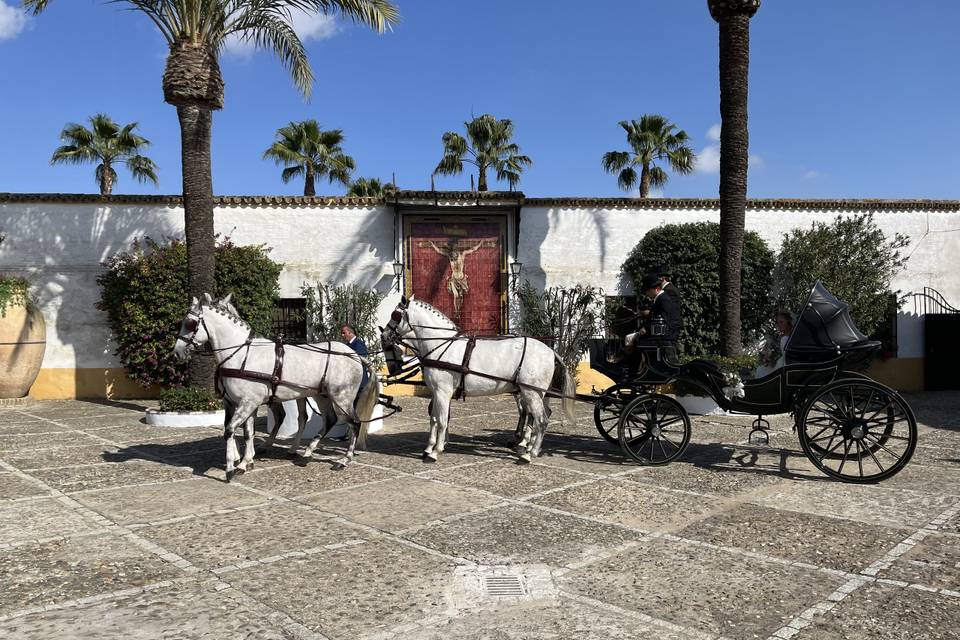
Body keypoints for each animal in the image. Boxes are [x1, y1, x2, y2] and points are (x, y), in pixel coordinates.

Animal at [174, 292, 380, 478]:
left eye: (190, 323)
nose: (177, 352)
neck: (242, 354)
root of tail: (354, 355)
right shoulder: (240, 403)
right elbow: (247, 432)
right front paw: (245, 462)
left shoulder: (248, 402)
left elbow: (230, 430)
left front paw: (232, 468)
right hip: (322, 395)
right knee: (329, 419)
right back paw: (306, 453)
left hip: (342, 397)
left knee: (354, 422)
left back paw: (344, 460)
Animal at [382, 296, 576, 460]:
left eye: (395, 315)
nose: (384, 335)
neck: (441, 345)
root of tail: (551, 351)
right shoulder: (437, 393)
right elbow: (434, 419)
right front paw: (429, 448)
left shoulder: (443, 392)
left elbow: (442, 421)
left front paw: (436, 451)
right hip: (535, 393)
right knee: (536, 416)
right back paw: (527, 446)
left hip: (531, 392)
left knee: (541, 419)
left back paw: (530, 453)